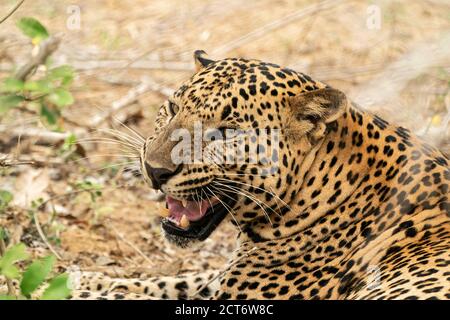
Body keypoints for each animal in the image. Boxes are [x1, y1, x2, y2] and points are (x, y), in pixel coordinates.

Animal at [68, 50, 448, 300]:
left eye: (225, 132)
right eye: (173, 108)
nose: (155, 170)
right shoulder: (220, 279)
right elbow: (170, 282)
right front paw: (81, 279)